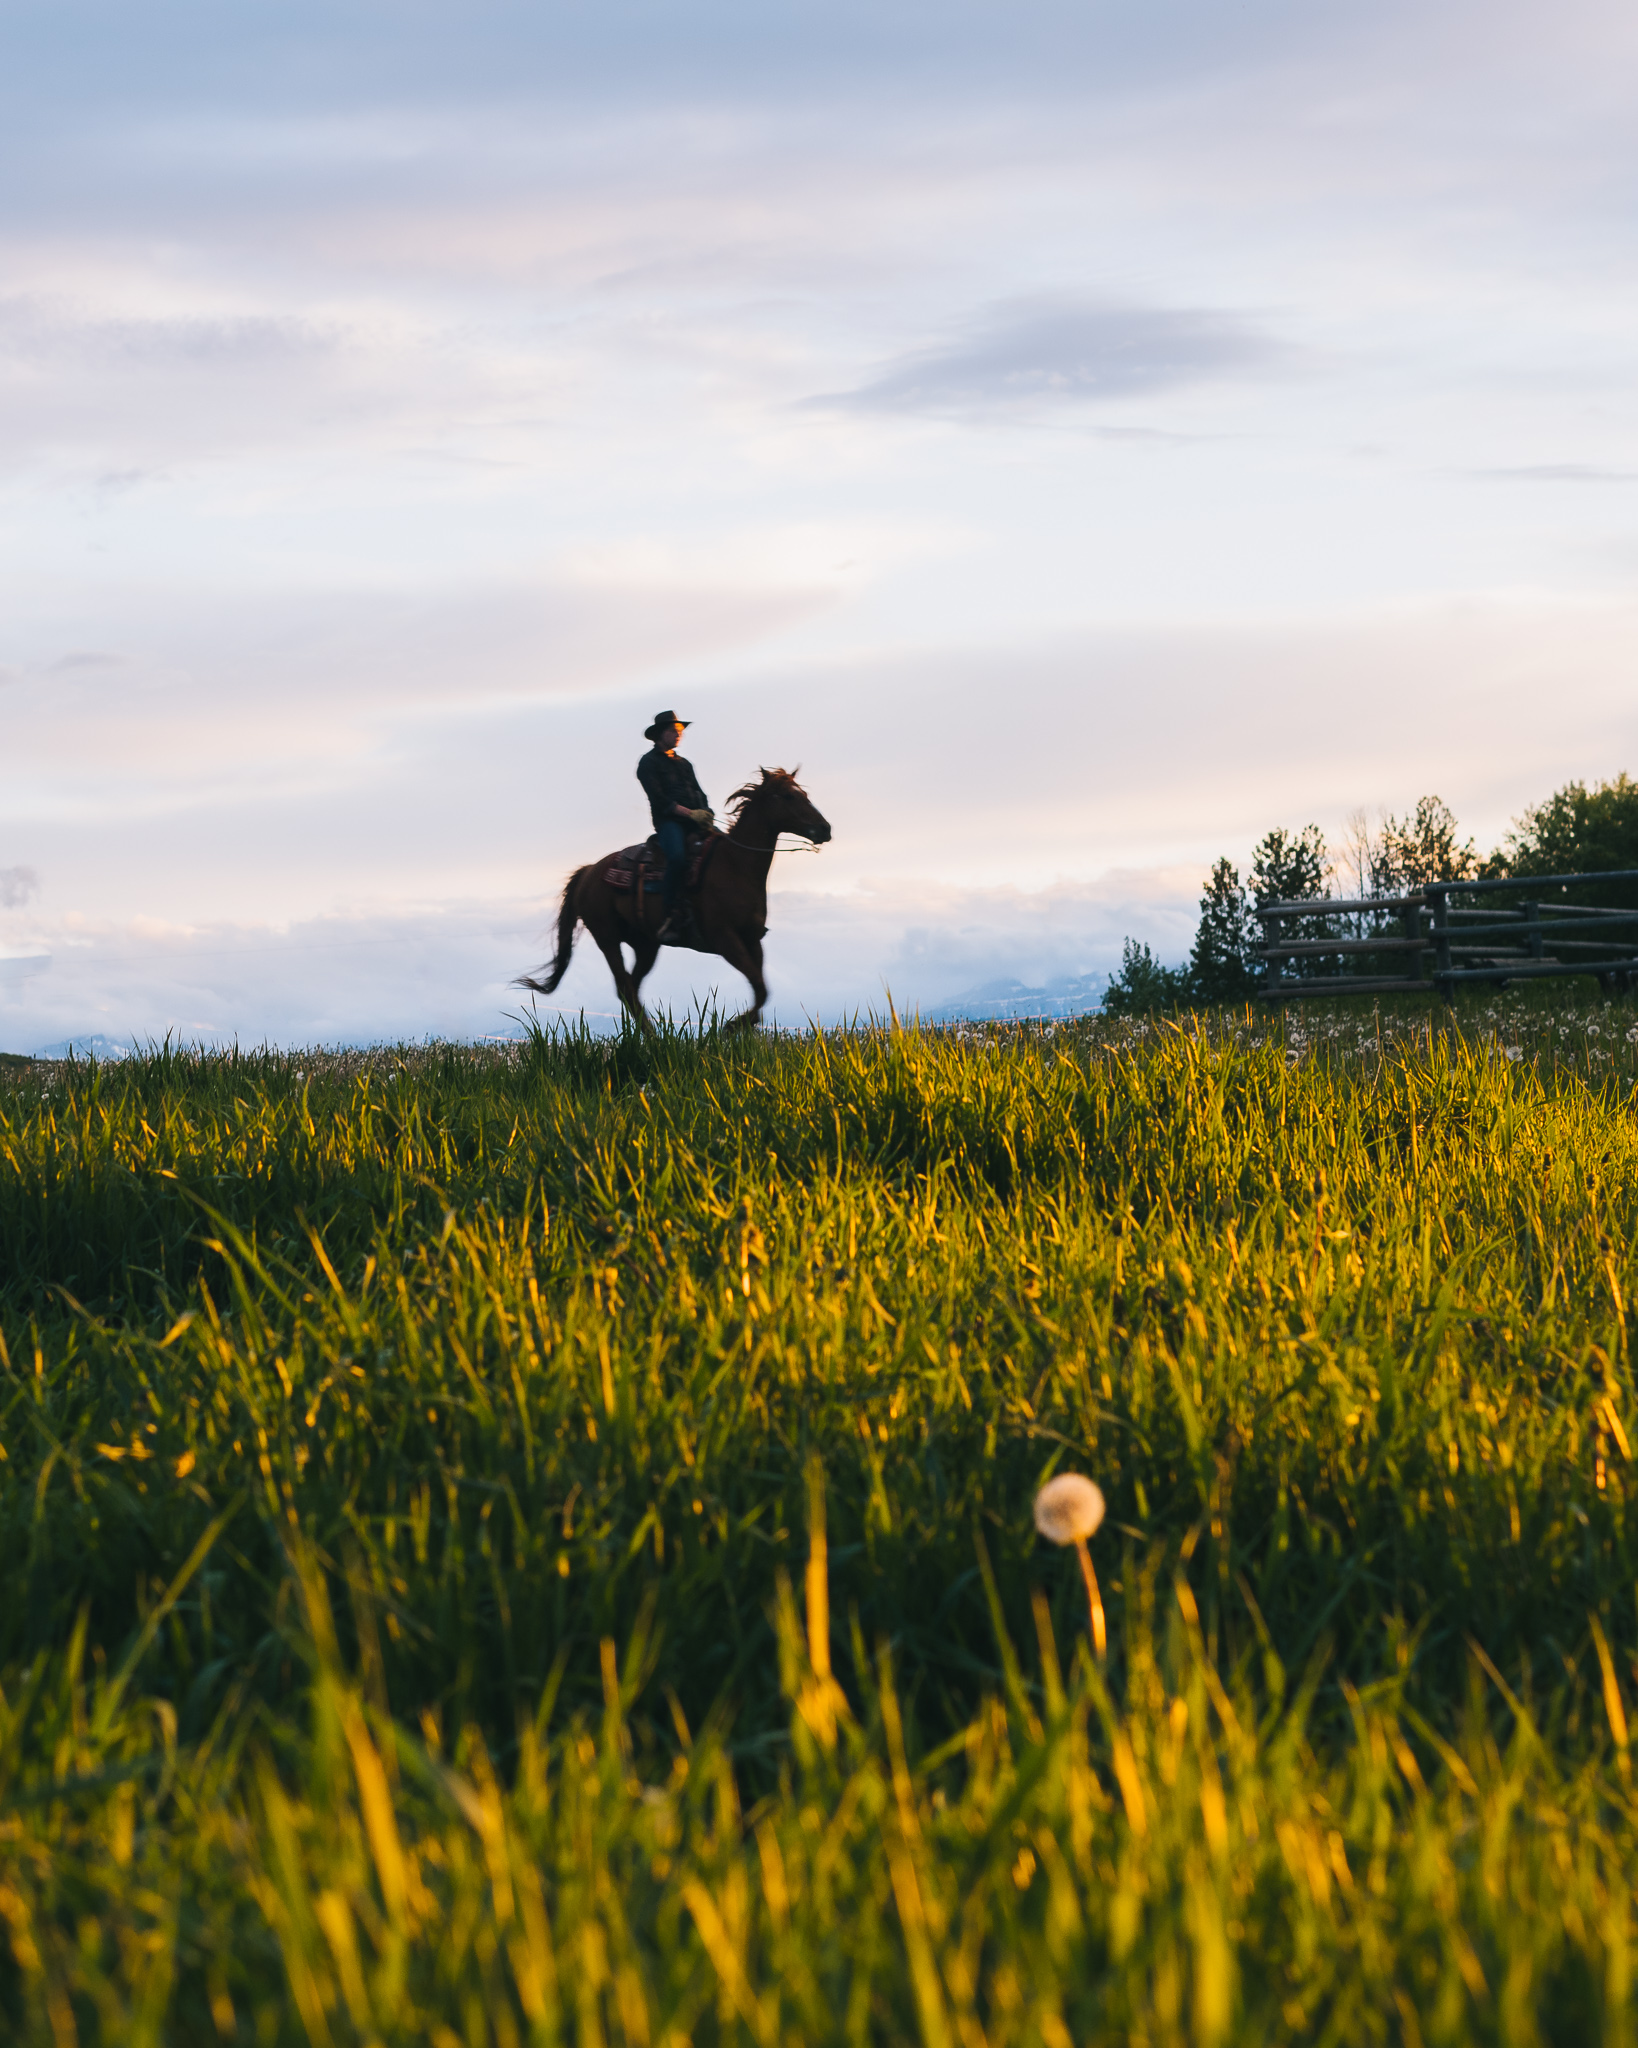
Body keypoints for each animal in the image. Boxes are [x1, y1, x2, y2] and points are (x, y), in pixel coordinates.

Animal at [518, 765, 831, 1032]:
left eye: (804, 794)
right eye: (789, 796)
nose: (825, 829)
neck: (734, 865)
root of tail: (589, 871)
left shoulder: (752, 939)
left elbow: (761, 989)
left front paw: (737, 1025)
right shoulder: (725, 939)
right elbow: (759, 986)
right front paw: (729, 1027)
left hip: (646, 944)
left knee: (630, 987)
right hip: (607, 938)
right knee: (625, 985)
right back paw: (654, 1037)